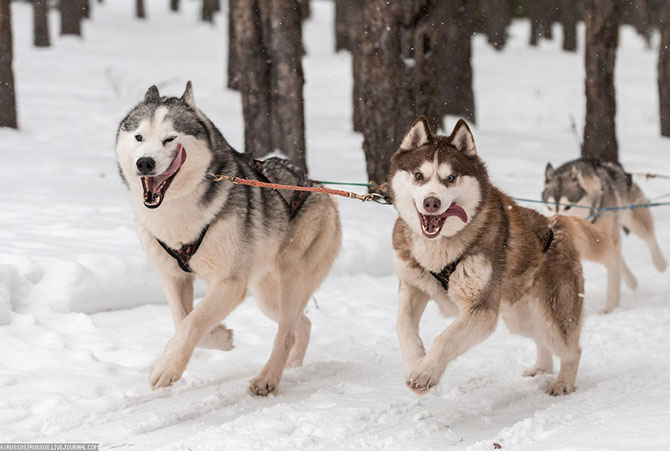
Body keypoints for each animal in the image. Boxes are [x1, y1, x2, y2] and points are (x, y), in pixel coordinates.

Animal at [544, 160, 668, 314]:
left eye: (567, 207)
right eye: (549, 207)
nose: (553, 226)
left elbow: (613, 277)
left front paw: (609, 308)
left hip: (634, 221)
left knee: (648, 238)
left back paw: (660, 263)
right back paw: (631, 281)